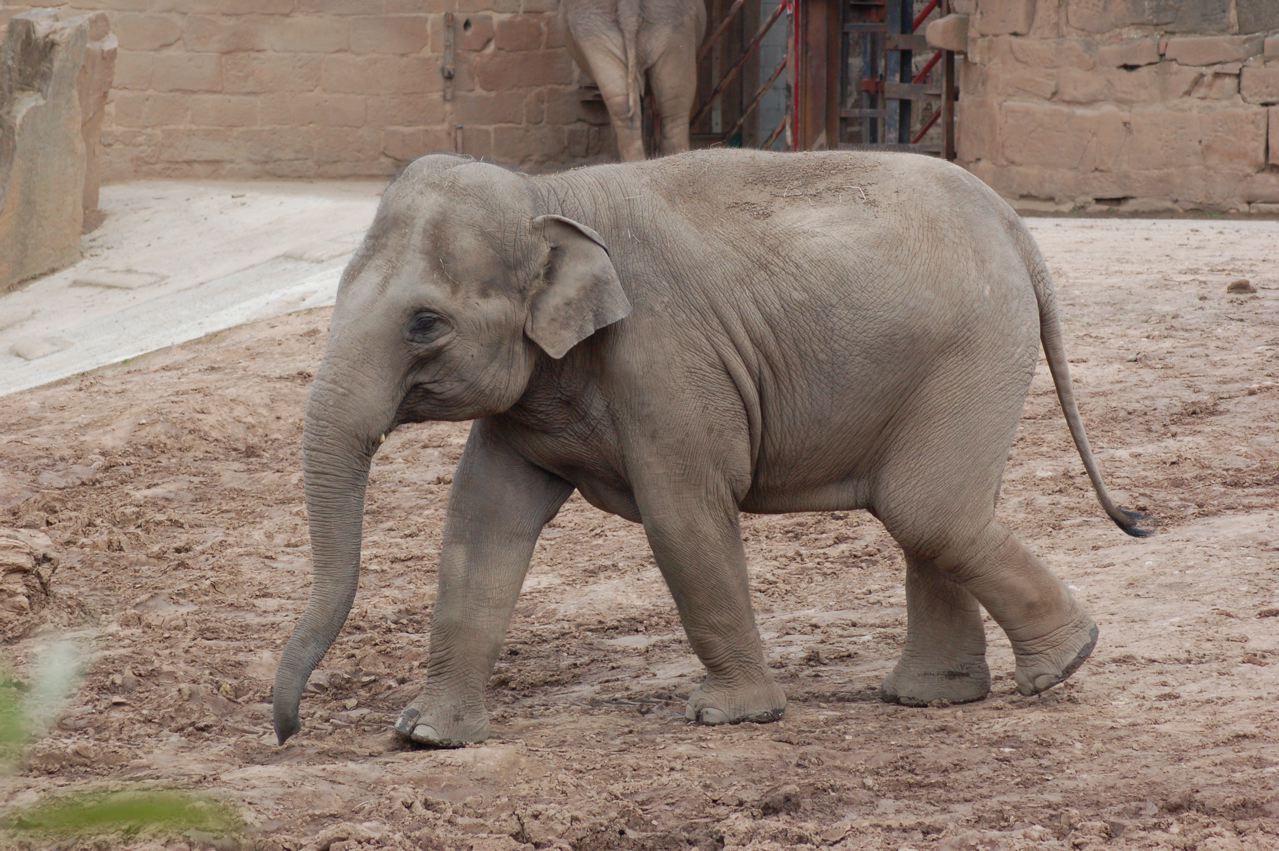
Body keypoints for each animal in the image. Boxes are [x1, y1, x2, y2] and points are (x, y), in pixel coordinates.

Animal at [272, 149, 1151, 747]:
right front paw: (425, 735)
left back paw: (1063, 664)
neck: (549, 192)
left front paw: (727, 716)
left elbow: (682, 513)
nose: (287, 731)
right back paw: (934, 696)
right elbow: (481, 525)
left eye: (424, 323)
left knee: (926, 508)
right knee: (935, 512)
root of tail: (1013, 224)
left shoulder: (663, 356)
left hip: (970, 346)